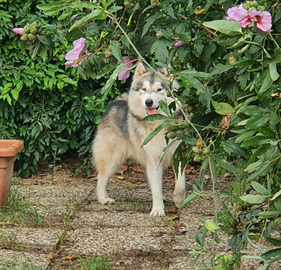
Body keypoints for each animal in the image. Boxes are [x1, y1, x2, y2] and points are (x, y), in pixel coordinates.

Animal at [92, 62, 186, 216]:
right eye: (144, 89)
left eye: (159, 89)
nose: (148, 102)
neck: (158, 123)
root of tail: (117, 102)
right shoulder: (153, 160)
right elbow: (156, 189)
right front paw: (158, 209)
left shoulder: (178, 155)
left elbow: (180, 184)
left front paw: (178, 200)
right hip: (112, 157)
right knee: (102, 177)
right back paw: (103, 198)